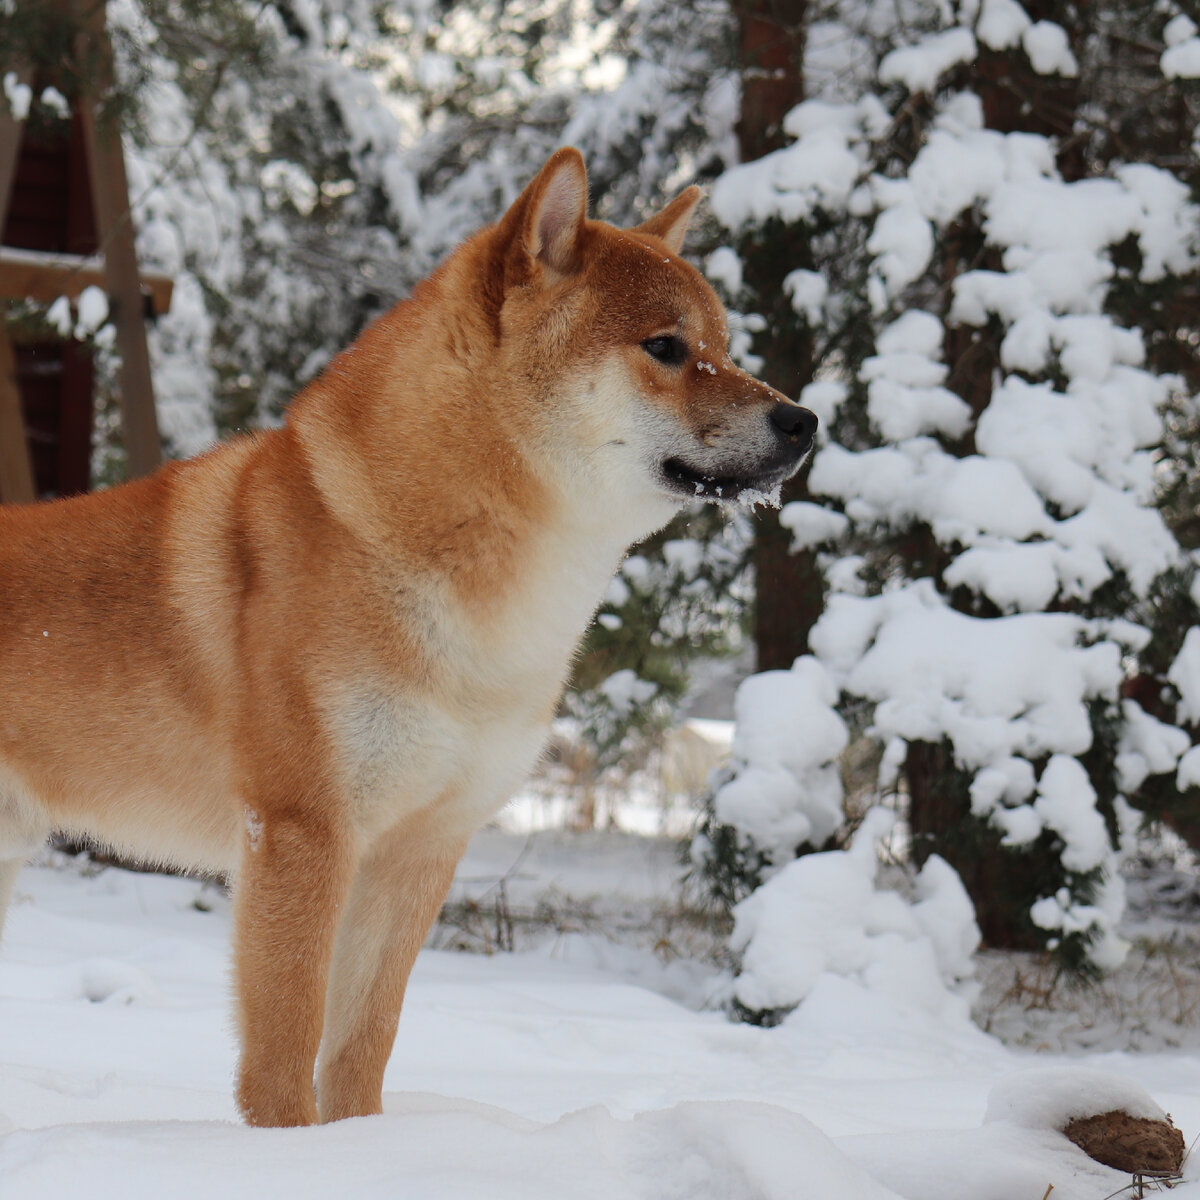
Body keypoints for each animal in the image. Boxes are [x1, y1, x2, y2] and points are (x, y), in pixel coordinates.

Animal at [0, 150, 816, 1123]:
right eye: (665, 347)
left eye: (726, 348)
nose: (804, 421)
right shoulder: (305, 833)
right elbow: (283, 1058)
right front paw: (288, 1148)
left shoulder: (419, 851)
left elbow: (361, 1047)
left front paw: (364, 1146)